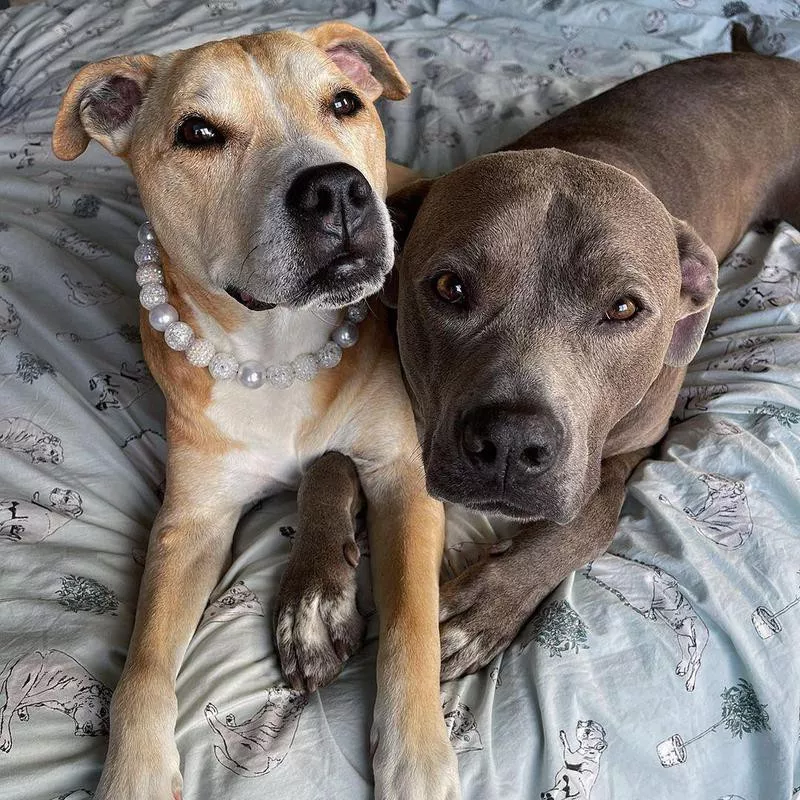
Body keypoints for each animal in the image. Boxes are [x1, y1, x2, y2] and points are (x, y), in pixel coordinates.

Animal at [53, 23, 460, 800]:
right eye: (199, 132)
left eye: (343, 102)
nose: (335, 189)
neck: (277, 350)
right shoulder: (191, 523)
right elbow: (142, 664)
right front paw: (133, 771)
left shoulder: (404, 473)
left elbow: (412, 621)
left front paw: (417, 755)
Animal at [384, 50, 796, 680]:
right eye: (450, 287)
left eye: (623, 308)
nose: (510, 442)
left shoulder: (636, 445)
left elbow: (596, 513)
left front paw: (487, 605)